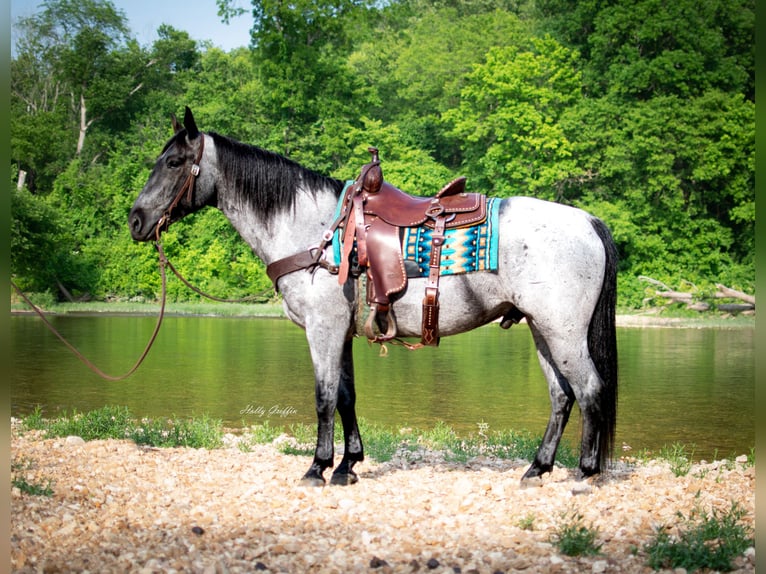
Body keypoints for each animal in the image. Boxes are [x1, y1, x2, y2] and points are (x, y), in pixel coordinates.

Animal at [129, 107, 620, 486]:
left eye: (174, 161)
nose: (136, 220)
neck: (315, 232)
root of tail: (588, 221)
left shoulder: (322, 329)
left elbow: (324, 397)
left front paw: (318, 467)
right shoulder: (341, 332)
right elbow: (347, 397)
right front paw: (348, 465)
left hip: (563, 332)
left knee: (590, 391)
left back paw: (586, 472)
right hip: (542, 330)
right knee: (562, 397)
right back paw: (537, 469)